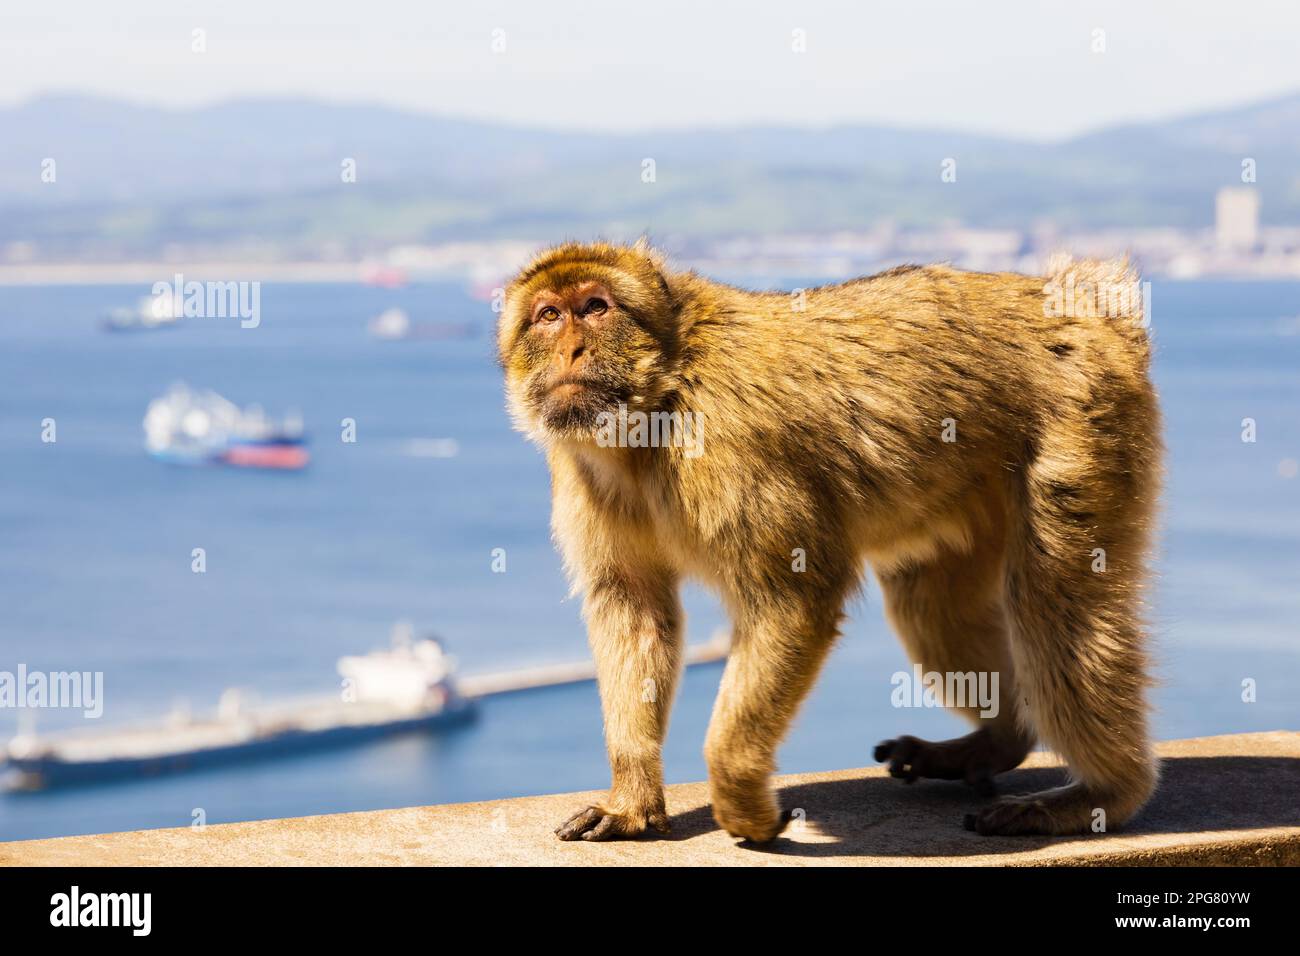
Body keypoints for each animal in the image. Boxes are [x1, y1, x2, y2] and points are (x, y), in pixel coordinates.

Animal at [493, 240, 1159, 842]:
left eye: (596, 307)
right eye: (548, 315)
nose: (572, 347)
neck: (657, 402)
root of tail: (1086, 308)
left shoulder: (729, 443)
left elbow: (793, 602)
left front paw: (740, 798)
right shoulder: (582, 471)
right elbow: (632, 610)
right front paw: (632, 800)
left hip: (1082, 421)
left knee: (1053, 606)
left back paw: (1102, 795)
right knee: (931, 604)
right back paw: (1000, 742)